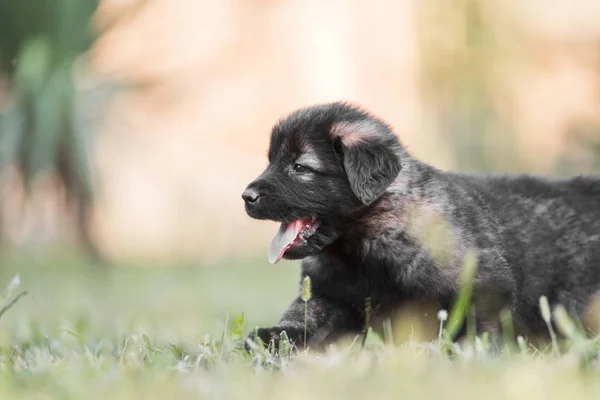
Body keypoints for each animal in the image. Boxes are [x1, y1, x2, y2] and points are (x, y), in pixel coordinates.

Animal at [241, 102, 600, 350]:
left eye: (300, 167)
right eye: (271, 161)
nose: (246, 196)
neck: (362, 247)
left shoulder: (483, 290)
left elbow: (473, 331)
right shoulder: (328, 295)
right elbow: (305, 319)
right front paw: (271, 338)